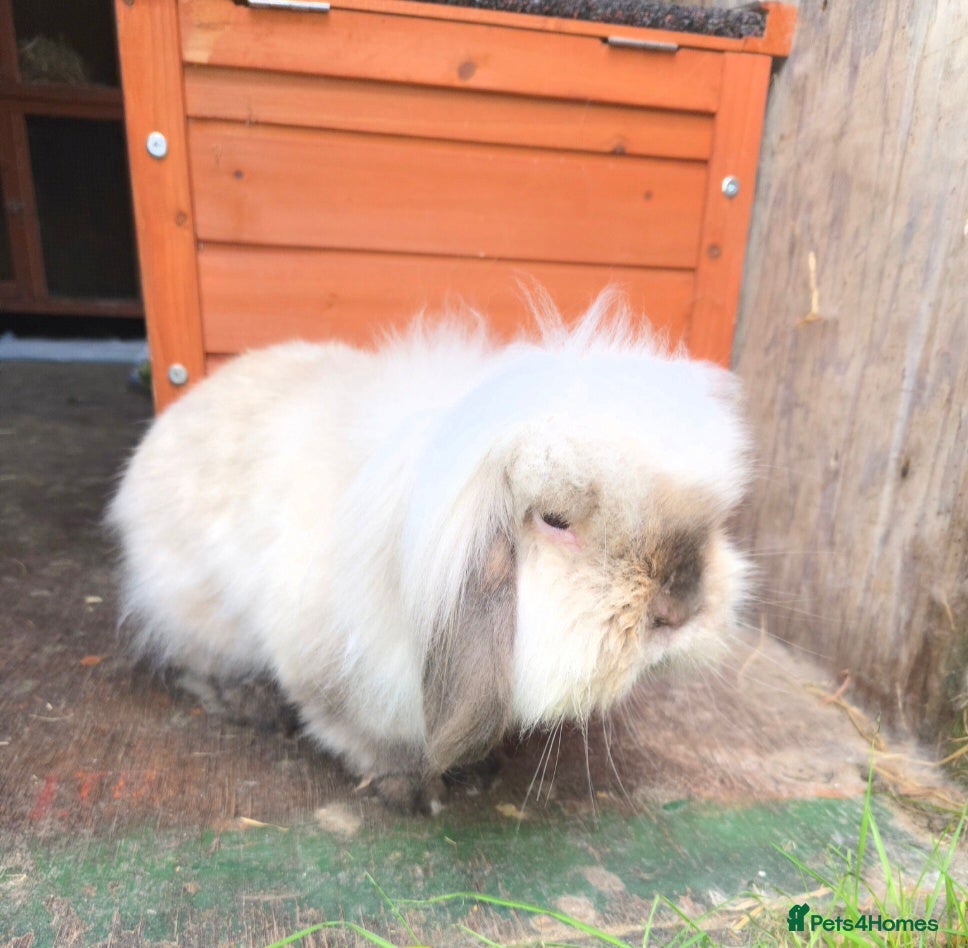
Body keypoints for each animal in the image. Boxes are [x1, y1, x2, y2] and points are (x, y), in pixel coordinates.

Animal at [107, 290, 752, 813]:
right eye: (555, 520)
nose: (680, 610)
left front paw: (479, 771)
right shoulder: (340, 678)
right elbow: (365, 736)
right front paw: (415, 793)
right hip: (199, 607)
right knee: (199, 663)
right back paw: (250, 704)